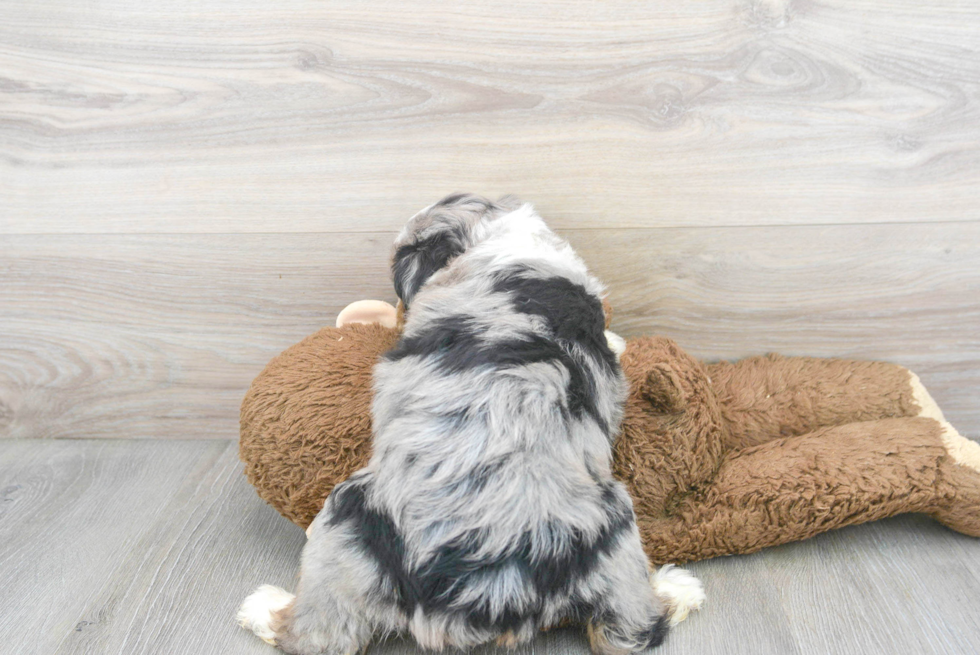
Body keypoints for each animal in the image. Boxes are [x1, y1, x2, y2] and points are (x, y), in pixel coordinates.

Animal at [237, 195, 700, 655]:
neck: (495, 242)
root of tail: (485, 584)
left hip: (342, 524)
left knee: (317, 636)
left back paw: (262, 606)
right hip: (614, 540)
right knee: (627, 631)